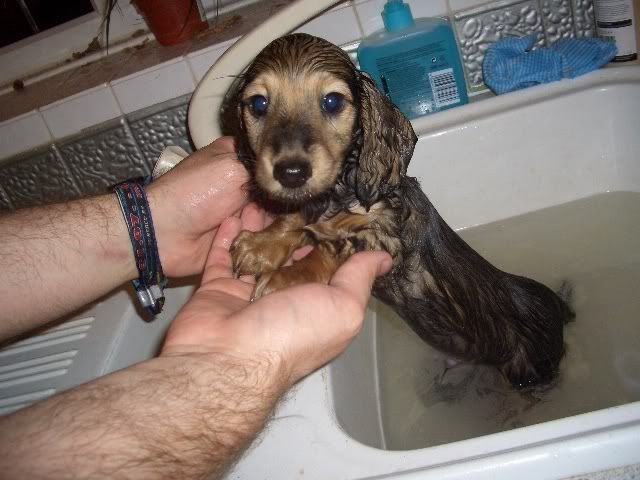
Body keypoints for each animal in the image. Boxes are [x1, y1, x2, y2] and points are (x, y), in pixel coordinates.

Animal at [221, 33, 576, 388]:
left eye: (332, 101)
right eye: (258, 104)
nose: (291, 172)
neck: (340, 195)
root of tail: (556, 307)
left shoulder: (386, 235)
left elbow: (333, 247)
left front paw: (288, 278)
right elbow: (299, 217)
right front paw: (261, 245)